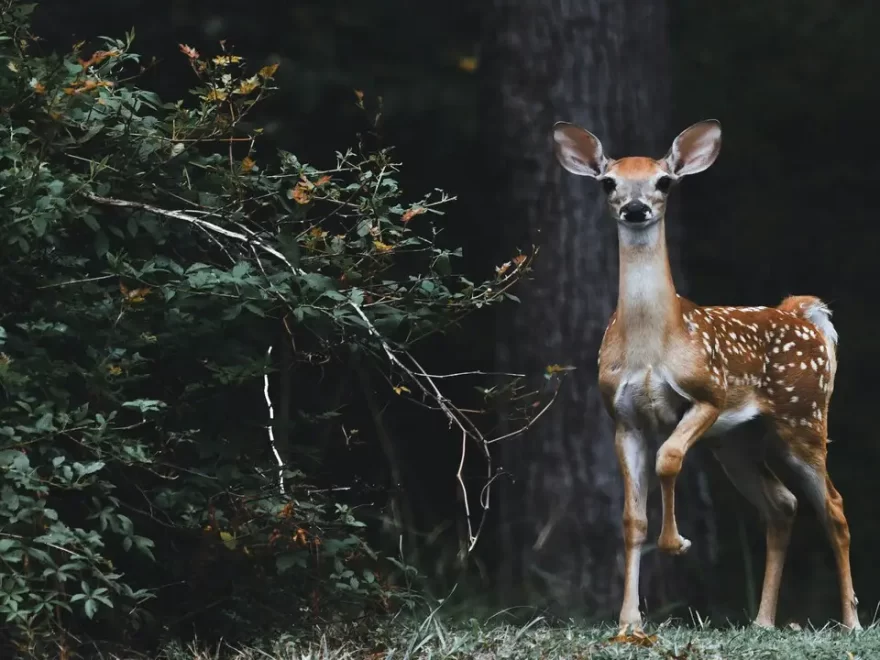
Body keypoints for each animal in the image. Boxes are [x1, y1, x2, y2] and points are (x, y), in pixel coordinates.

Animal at [552, 120, 860, 636]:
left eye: (664, 181)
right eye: (608, 183)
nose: (636, 209)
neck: (652, 345)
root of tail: (803, 313)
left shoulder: (708, 395)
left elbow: (670, 459)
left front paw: (676, 543)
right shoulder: (622, 417)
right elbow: (632, 518)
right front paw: (629, 621)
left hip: (803, 418)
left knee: (833, 506)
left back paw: (852, 621)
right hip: (737, 441)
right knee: (781, 504)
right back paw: (763, 621)